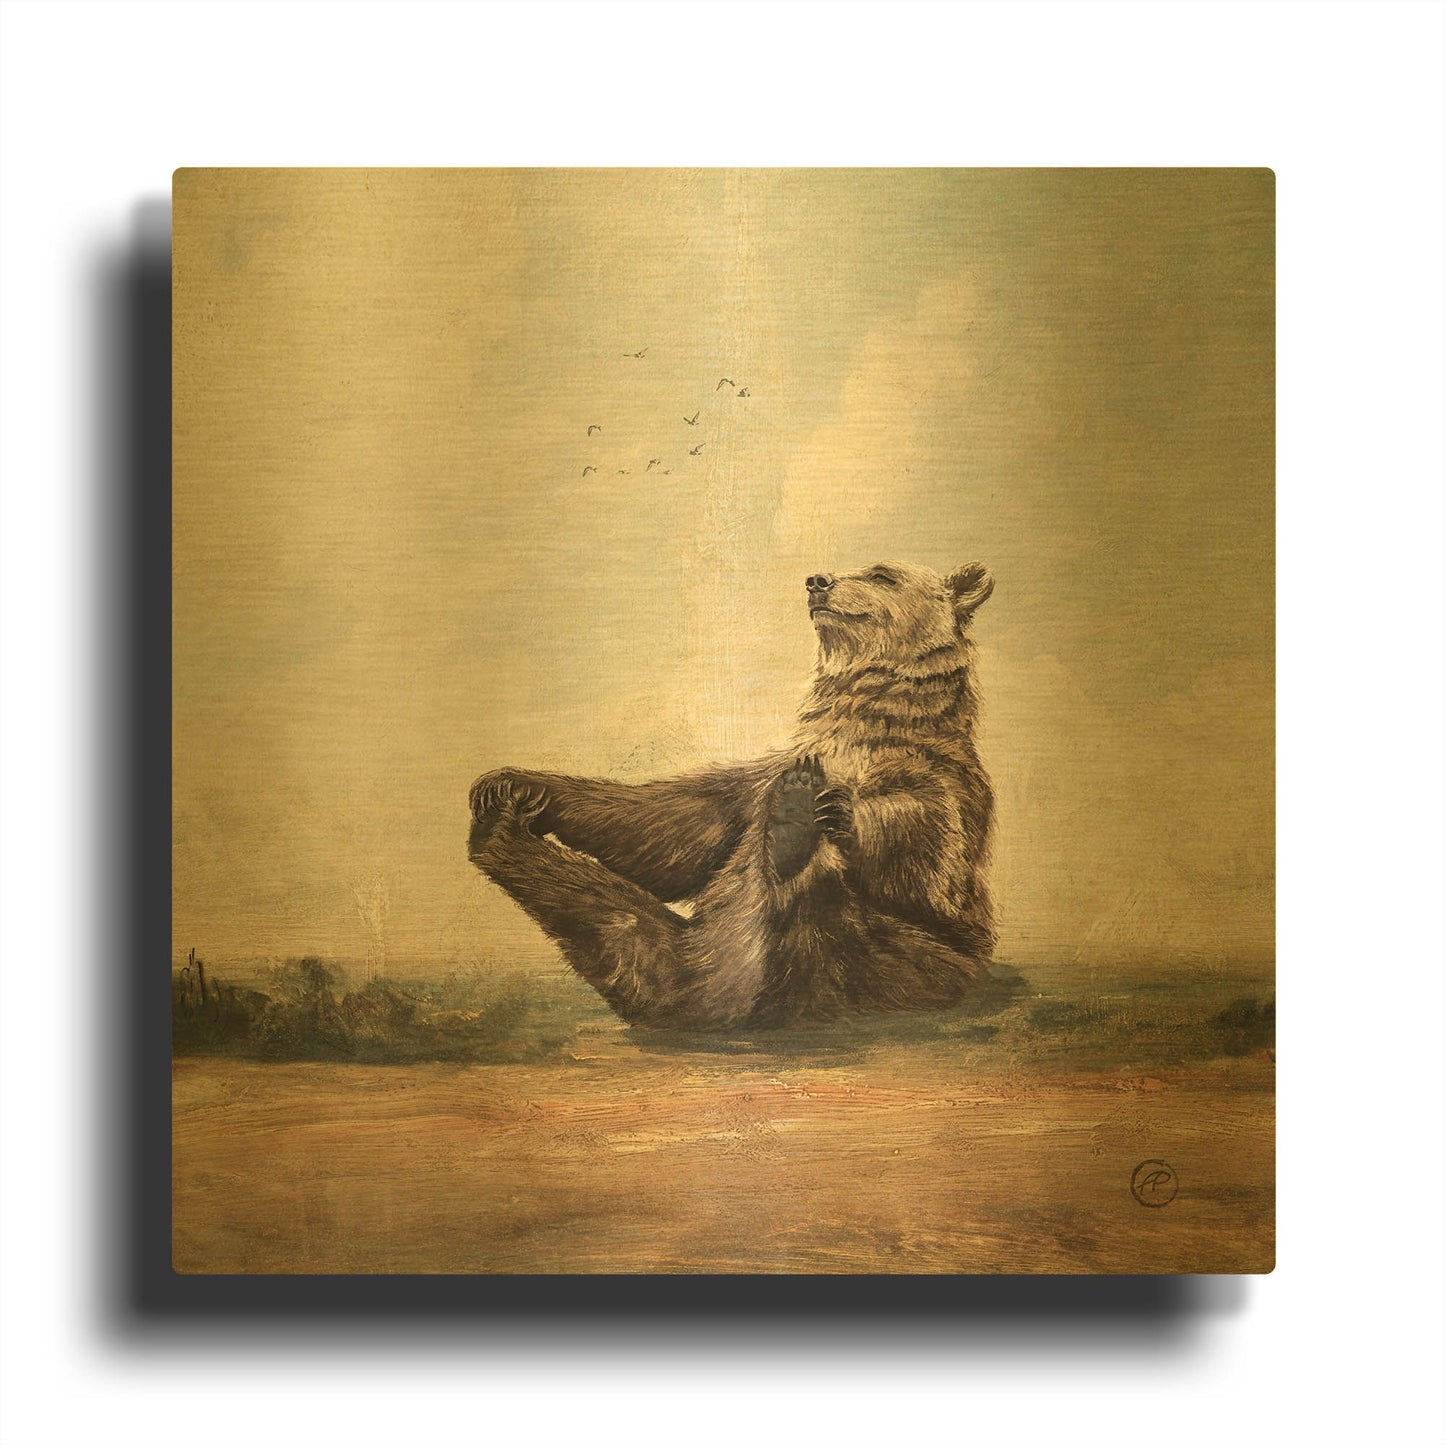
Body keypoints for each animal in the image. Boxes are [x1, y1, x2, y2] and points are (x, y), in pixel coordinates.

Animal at [467, 560, 996, 1031]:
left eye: (883, 574)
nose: (817, 581)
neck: (864, 720)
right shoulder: (761, 778)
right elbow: (676, 826)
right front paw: (512, 782)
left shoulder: (938, 774)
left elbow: (929, 855)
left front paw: (834, 807)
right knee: (616, 920)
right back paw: (500, 831)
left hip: (911, 963)